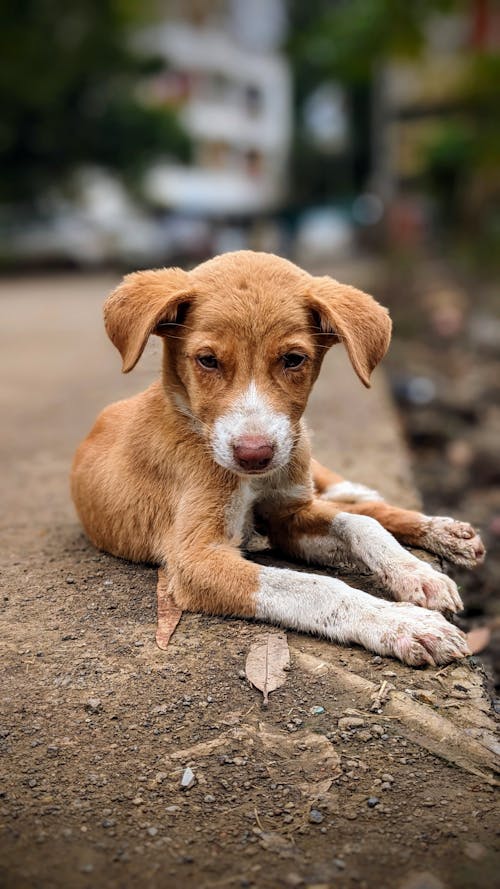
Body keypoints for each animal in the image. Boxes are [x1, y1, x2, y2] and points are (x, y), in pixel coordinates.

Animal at [71, 253, 484, 664]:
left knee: (356, 505)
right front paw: (401, 623)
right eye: (207, 360)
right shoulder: (196, 559)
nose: (254, 455)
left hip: (301, 454)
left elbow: (359, 525)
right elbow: (318, 586)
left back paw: (441, 530)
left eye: (293, 359)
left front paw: (415, 572)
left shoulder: (287, 514)